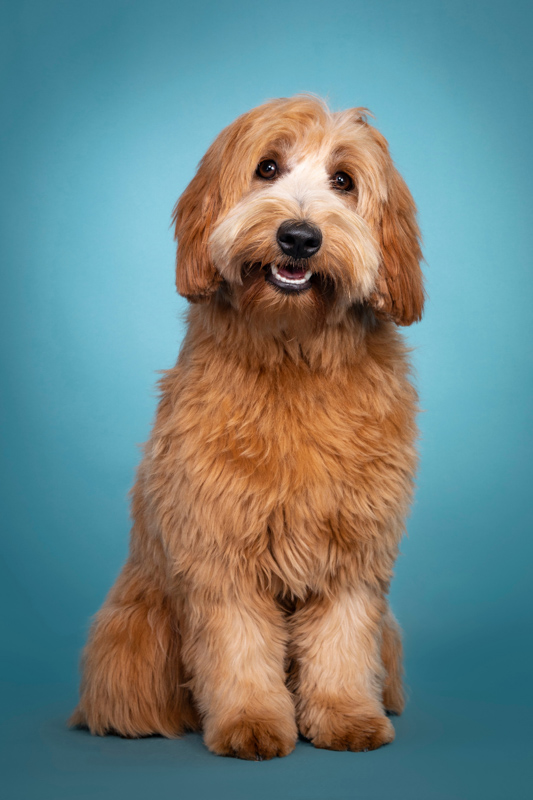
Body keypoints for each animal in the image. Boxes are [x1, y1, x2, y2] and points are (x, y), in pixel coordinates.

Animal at [69, 97, 424, 760]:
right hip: (136, 631)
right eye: (267, 168)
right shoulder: (220, 548)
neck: (293, 351)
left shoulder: (353, 551)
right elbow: (238, 645)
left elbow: (341, 640)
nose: (299, 237)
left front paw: (347, 716)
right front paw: (251, 722)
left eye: (344, 180)